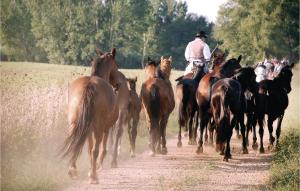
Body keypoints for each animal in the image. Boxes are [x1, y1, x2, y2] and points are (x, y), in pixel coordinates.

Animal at [61, 47, 119, 184]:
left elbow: (88, 149)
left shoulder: (88, 130)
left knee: (75, 144)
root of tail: (89, 85)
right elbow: (101, 149)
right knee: (95, 150)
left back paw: (72, 171)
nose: (117, 85)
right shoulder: (106, 129)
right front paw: (95, 169)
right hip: (98, 128)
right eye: (116, 65)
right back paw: (93, 176)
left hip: (74, 124)